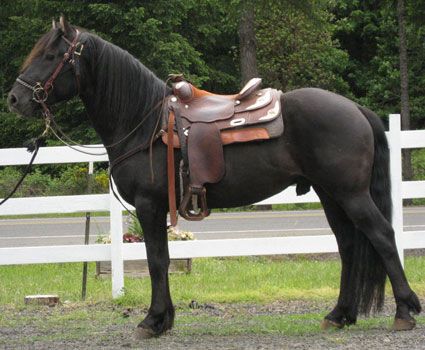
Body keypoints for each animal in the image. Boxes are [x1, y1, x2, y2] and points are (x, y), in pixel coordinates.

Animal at [7, 17, 420, 338]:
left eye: (50, 56)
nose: (14, 99)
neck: (144, 121)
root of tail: (355, 109)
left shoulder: (149, 206)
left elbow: (156, 260)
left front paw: (153, 321)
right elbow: (161, 258)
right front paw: (164, 319)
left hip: (350, 194)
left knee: (382, 236)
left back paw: (404, 312)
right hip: (330, 194)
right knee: (348, 245)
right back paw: (339, 315)